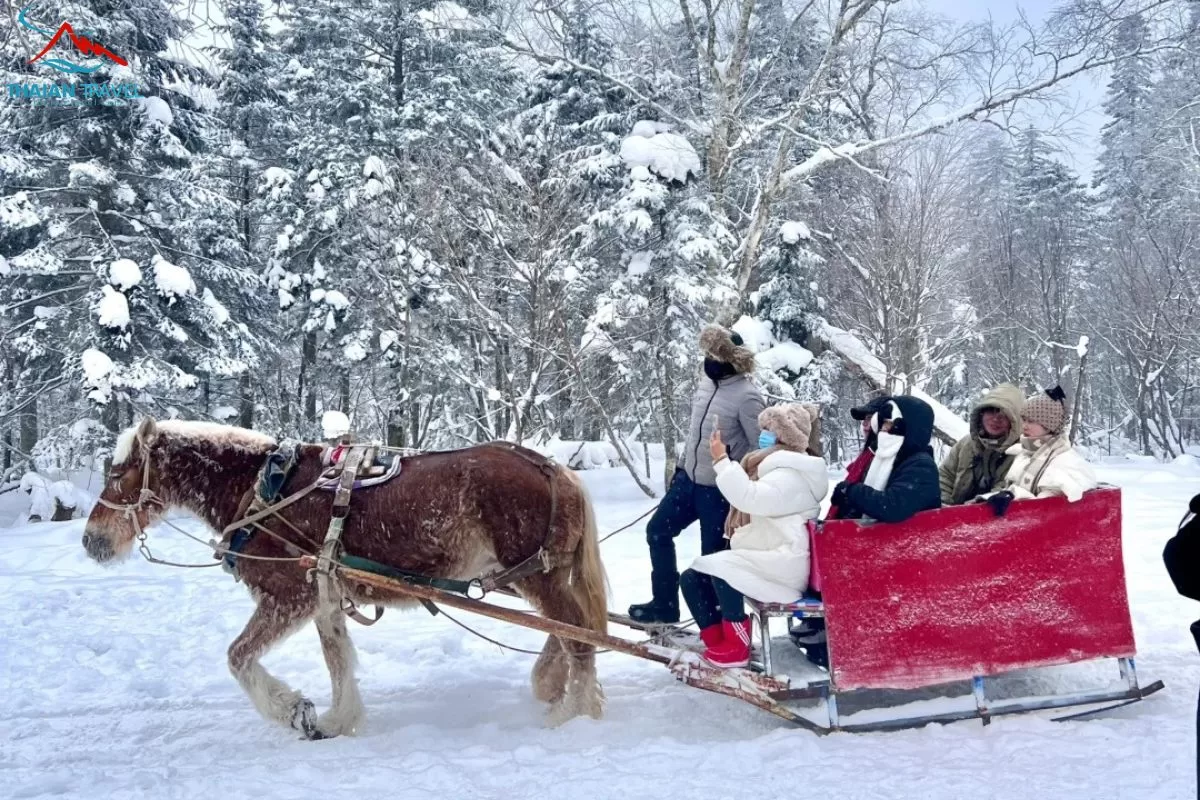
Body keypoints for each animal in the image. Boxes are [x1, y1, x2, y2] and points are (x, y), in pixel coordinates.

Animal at [82, 419, 609, 738]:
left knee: (577, 634)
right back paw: (552, 685)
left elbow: (238, 657)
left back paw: (572, 711)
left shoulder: (288, 595)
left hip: (535, 574)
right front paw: (338, 719)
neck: (263, 489)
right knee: (569, 630)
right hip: (520, 576)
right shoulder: (323, 595)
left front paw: (291, 709)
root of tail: (553, 467)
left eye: (119, 474)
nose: (91, 540)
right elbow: (336, 658)